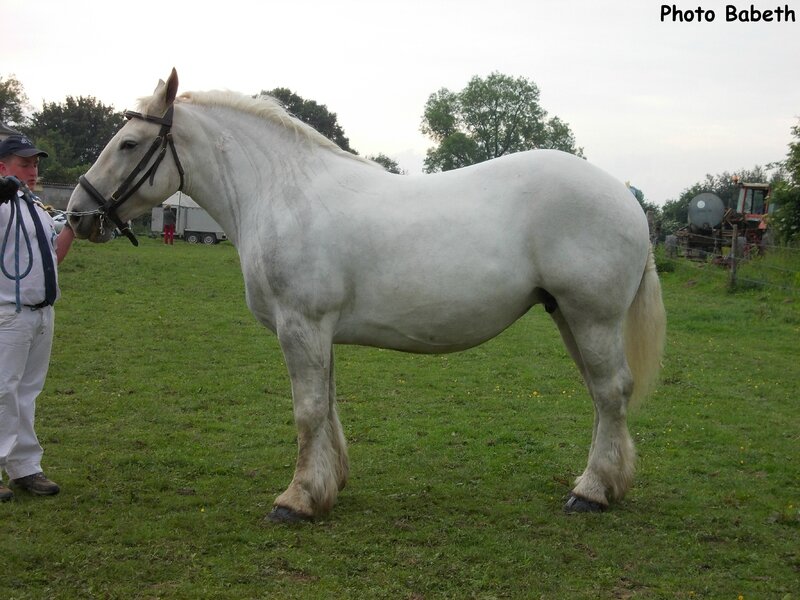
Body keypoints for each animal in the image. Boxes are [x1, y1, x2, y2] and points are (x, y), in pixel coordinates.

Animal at [69, 69, 664, 520]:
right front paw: (328, 485)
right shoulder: (318, 331)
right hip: (568, 315)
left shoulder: (301, 324)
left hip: (591, 317)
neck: (282, 192)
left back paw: (592, 492)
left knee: (611, 392)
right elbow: (327, 406)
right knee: (602, 396)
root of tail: (626, 198)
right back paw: (604, 483)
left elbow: (308, 410)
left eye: (128, 143)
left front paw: (296, 501)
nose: (78, 214)